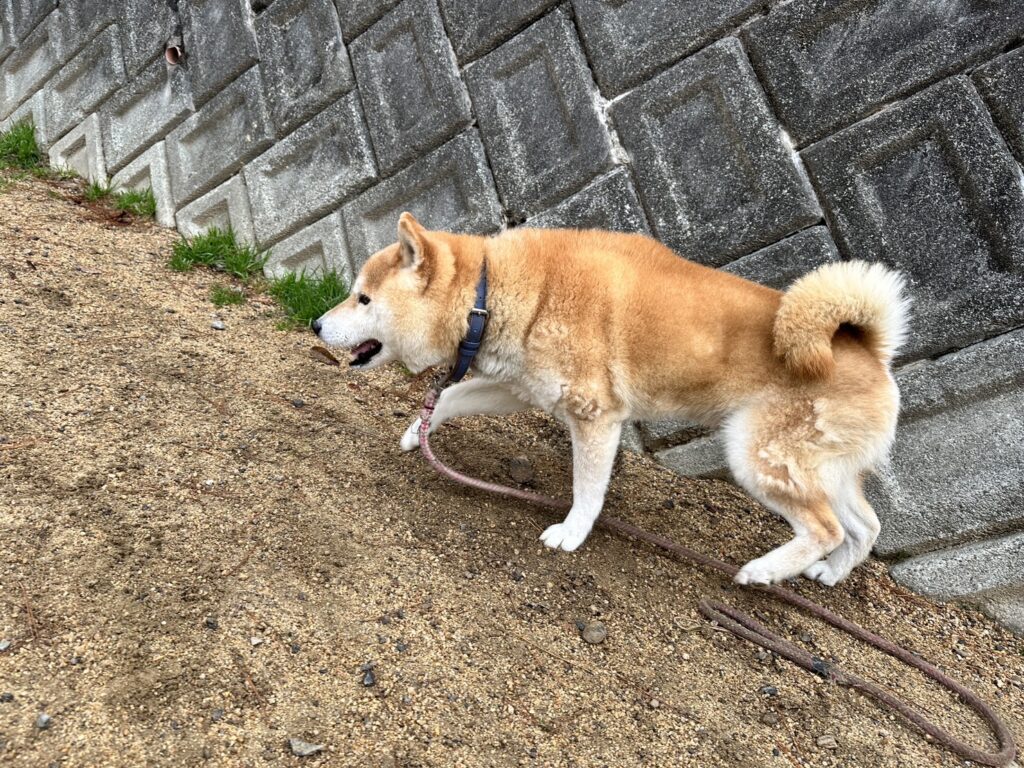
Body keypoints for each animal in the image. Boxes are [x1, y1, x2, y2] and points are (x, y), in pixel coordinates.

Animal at [314, 212, 909, 586]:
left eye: (362, 298)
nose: (318, 324)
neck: (491, 294)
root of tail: (869, 349)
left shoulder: (595, 416)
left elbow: (588, 488)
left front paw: (571, 534)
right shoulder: (516, 386)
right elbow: (454, 395)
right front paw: (416, 431)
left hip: (753, 454)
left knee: (827, 528)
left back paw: (762, 571)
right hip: (817, 467)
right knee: (866, 526)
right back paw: (829, 573)